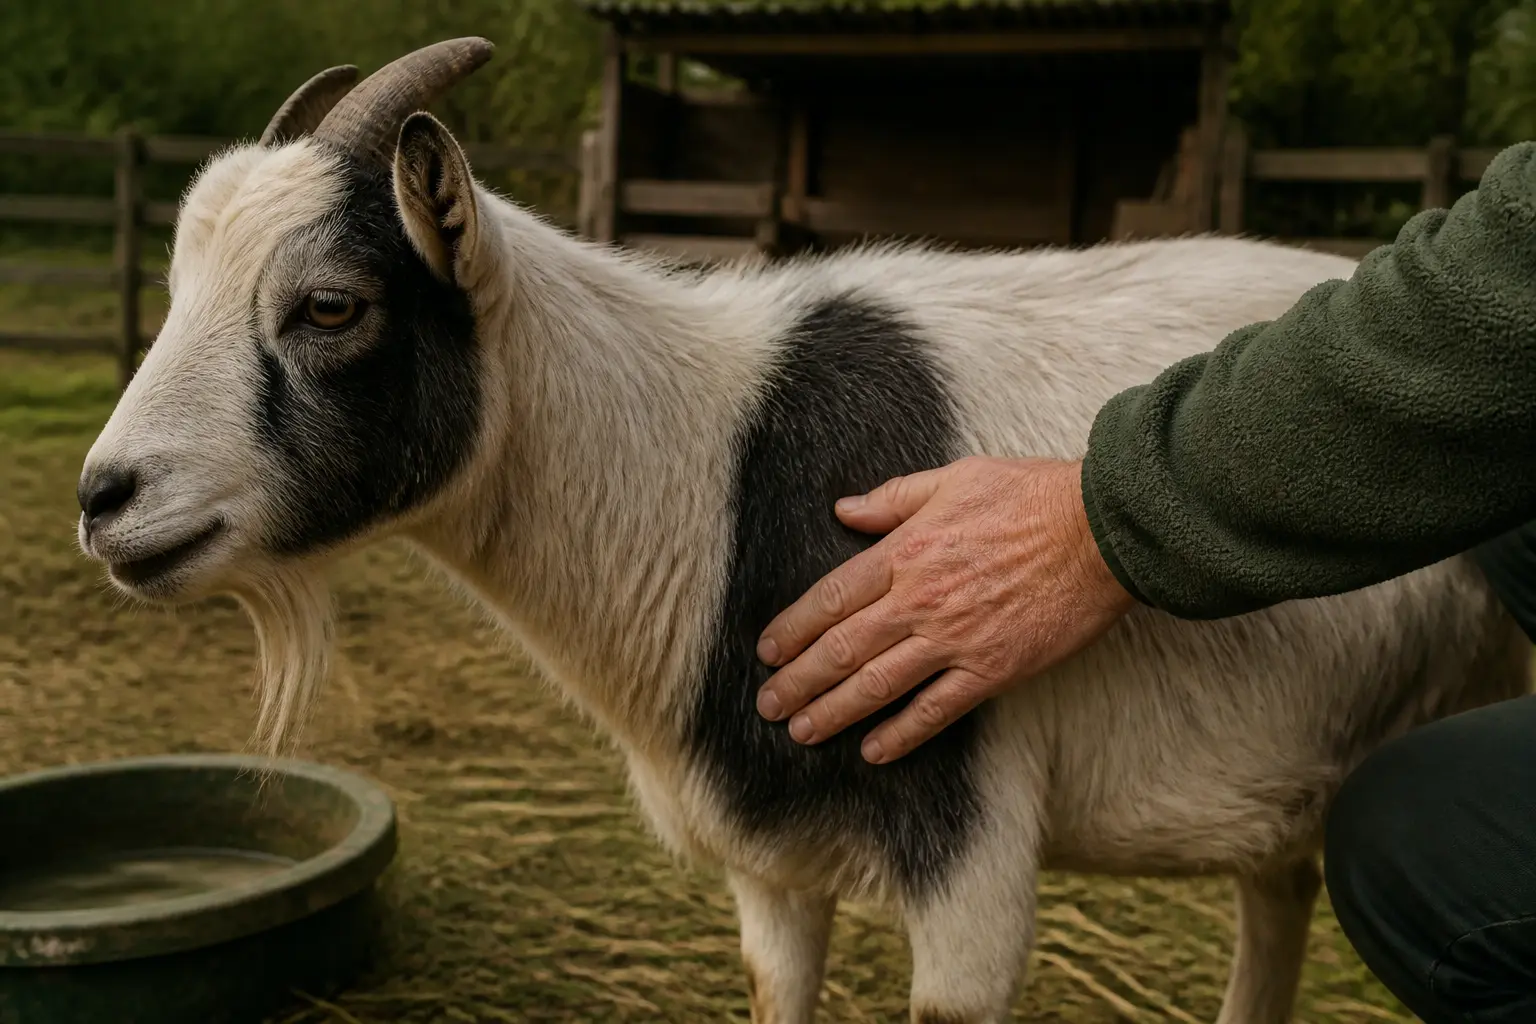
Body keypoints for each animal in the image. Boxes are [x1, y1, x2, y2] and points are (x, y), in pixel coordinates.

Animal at [75, 38, 1529, 1024]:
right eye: (177, 285)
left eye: (330, 304)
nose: (106, 499)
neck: (710, 469)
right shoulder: (770, 880)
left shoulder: (966, 844)